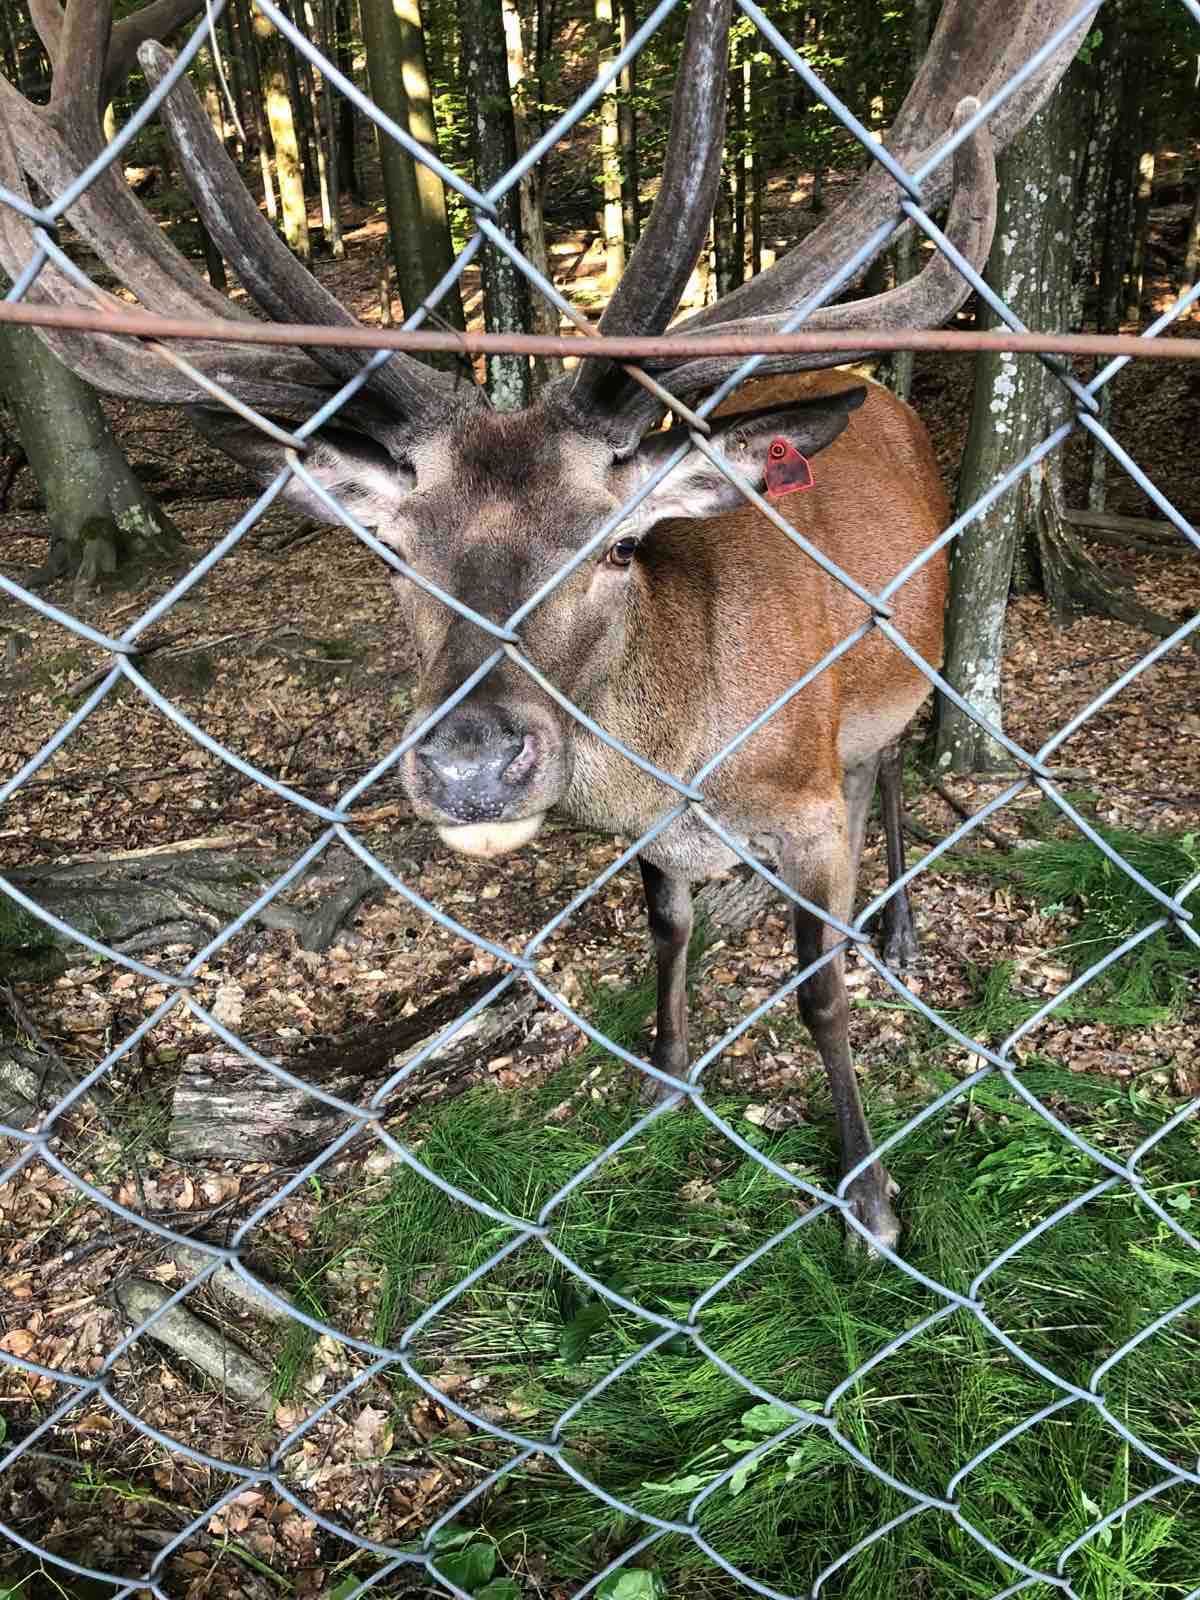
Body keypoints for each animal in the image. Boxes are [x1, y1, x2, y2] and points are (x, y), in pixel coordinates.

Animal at [0, 0, 1094, 1248]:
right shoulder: (656, 840)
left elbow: (817, 989)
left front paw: (867, 1191)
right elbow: (665, 930)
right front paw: (662, 1074)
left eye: (617, 544)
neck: (691, 766)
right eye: (395, 557)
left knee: (897, 761)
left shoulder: (805, 800)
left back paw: (898, 930)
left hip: (909, 646)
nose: (474, 761)